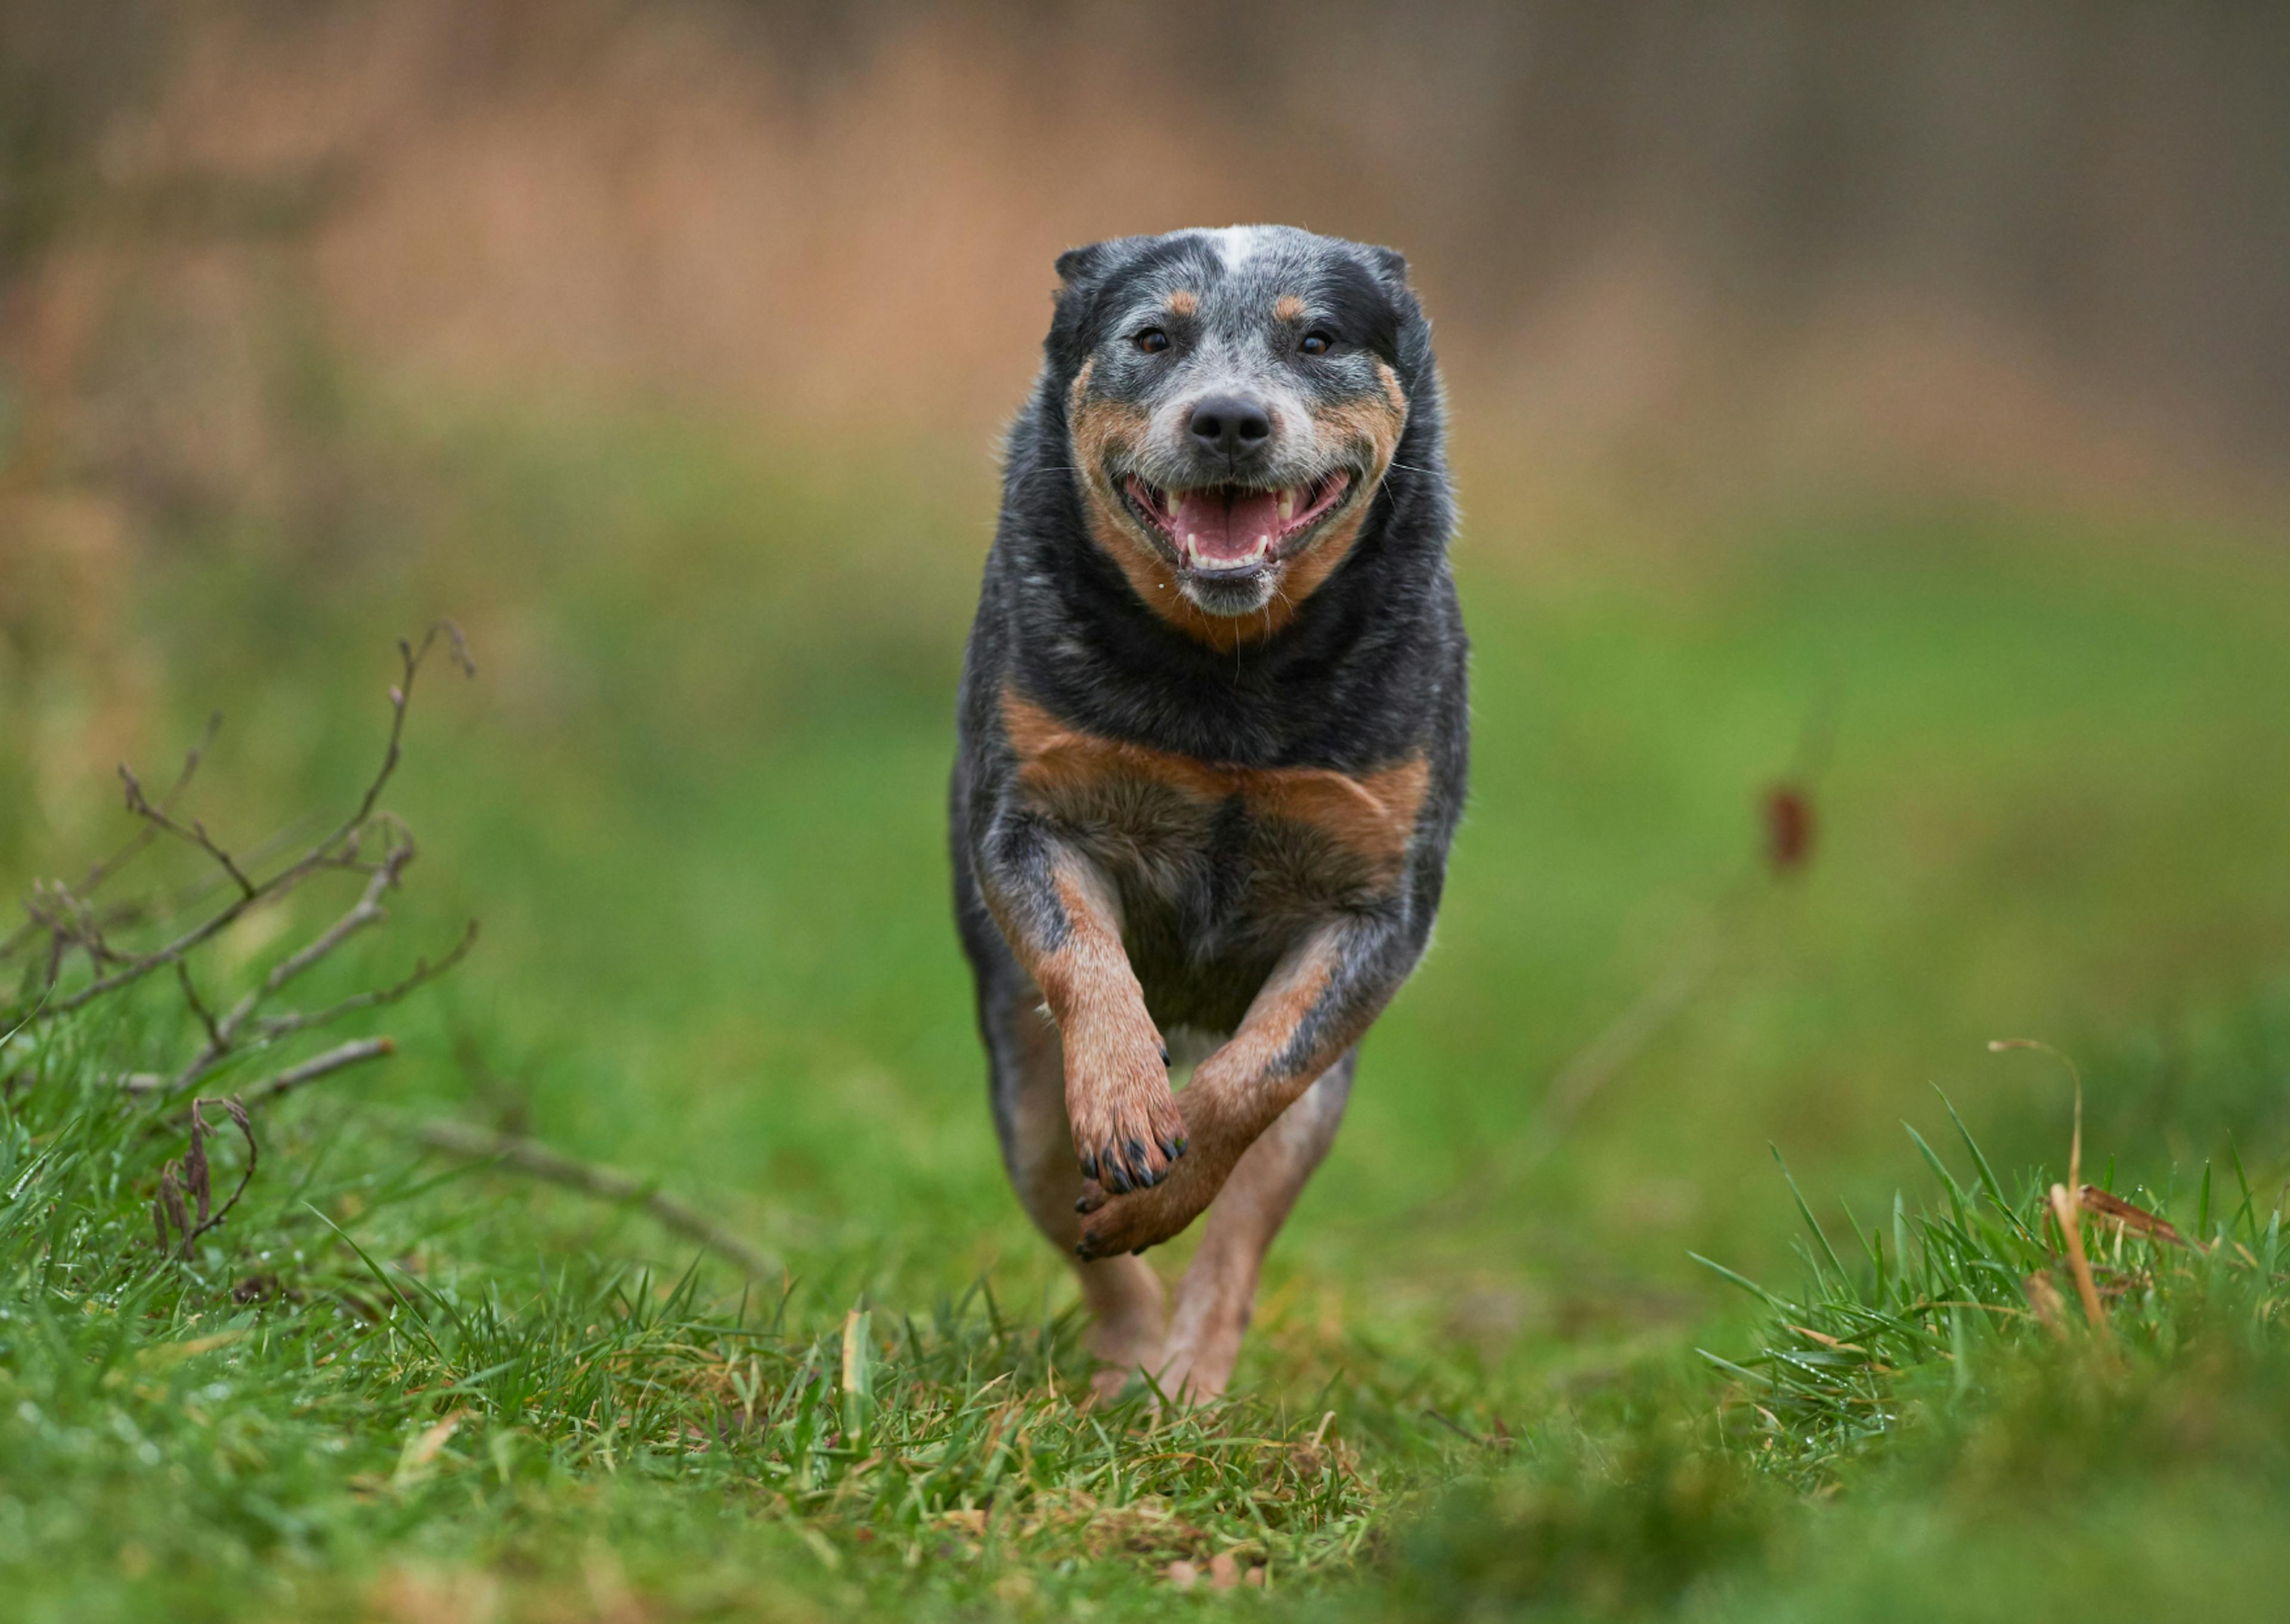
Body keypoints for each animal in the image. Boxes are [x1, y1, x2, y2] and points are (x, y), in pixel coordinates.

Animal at [948, 224, 1465, 1392]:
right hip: (1019, 1084)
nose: (1229, 417)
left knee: (1240, 1226)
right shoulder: (1028, 820)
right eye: (1153, 337)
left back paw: (1187, 1384)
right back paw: (1127, 1365)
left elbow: (1248, 1082)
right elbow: (1087, 961)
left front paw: (1163, 1180)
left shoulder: (1381, 905)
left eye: (1317, 339)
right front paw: (1127, 1103)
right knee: (1069, 1215)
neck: (1229, 677)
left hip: (1318, 1106)